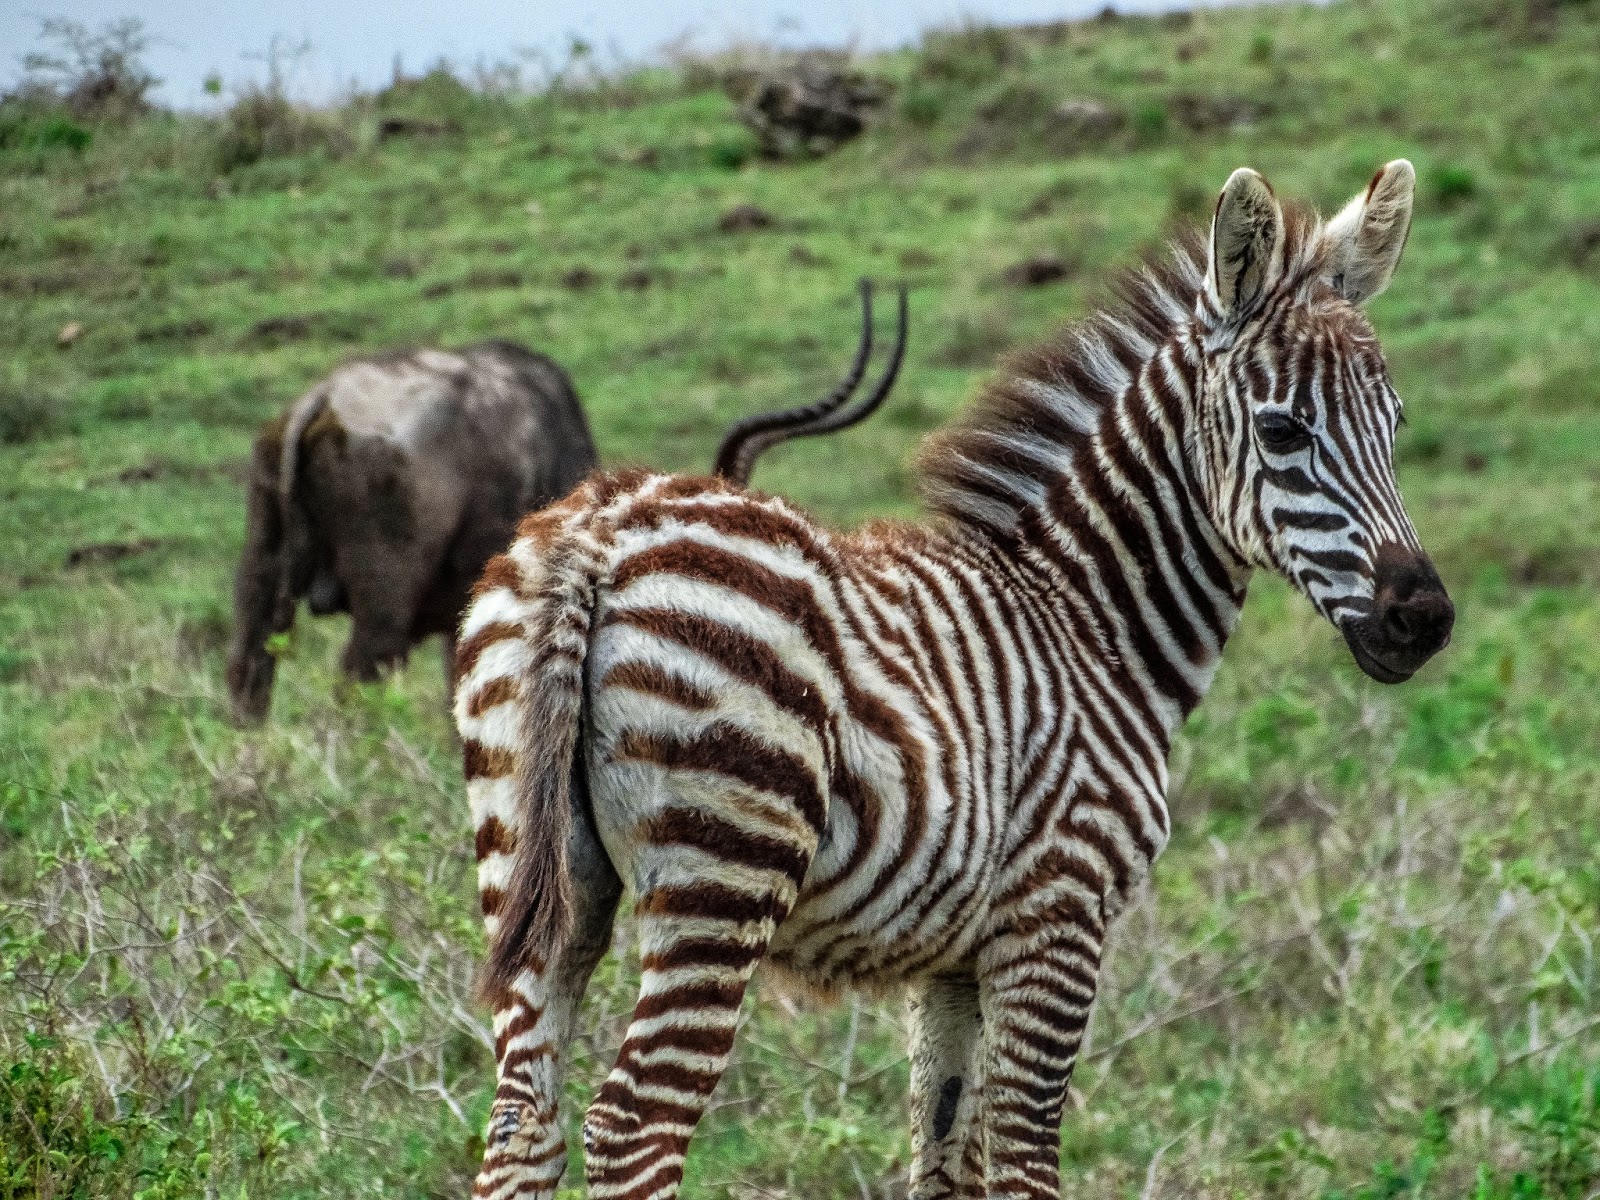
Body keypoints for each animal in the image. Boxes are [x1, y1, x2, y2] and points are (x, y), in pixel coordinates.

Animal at [454, 161, 1453, 1200]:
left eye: (1395, 424)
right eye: (1284, 430)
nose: (1423, 620)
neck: (1087, 621)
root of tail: (595, 534)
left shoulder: (953, 959)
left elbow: (944, 1155)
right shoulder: (1058, 914)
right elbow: (1022, 1157)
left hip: (537, 868)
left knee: (522, 1126)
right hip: (722, 869)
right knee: (633, 1127)